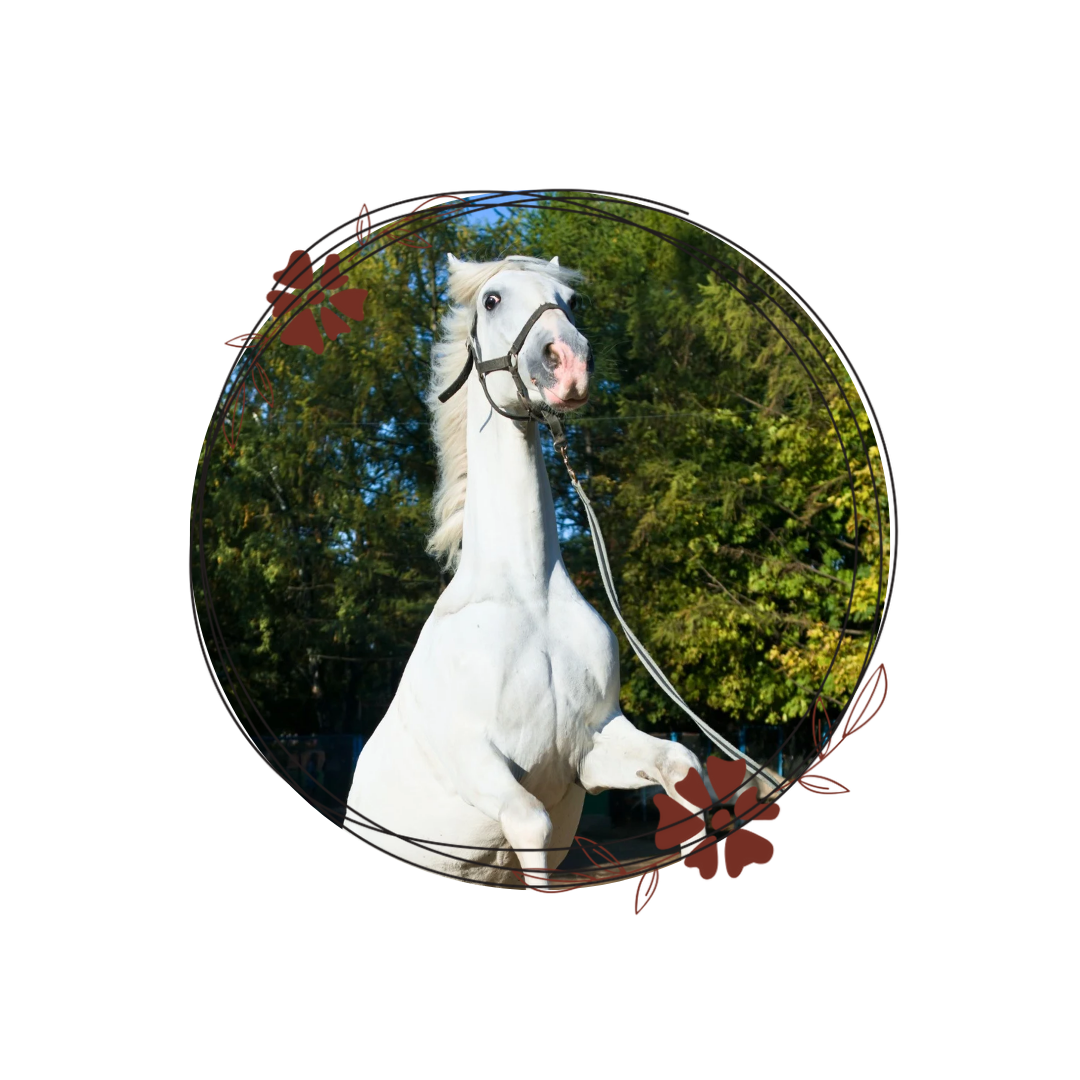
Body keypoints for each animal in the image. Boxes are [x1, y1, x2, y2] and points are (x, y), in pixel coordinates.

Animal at [346, 254, 706, 889]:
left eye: (570, 300)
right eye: (492, 300)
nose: (568, 363)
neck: (530, 599)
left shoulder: (595, 744)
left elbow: (684, 769)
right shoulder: (479, 764)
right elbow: (532, 824)